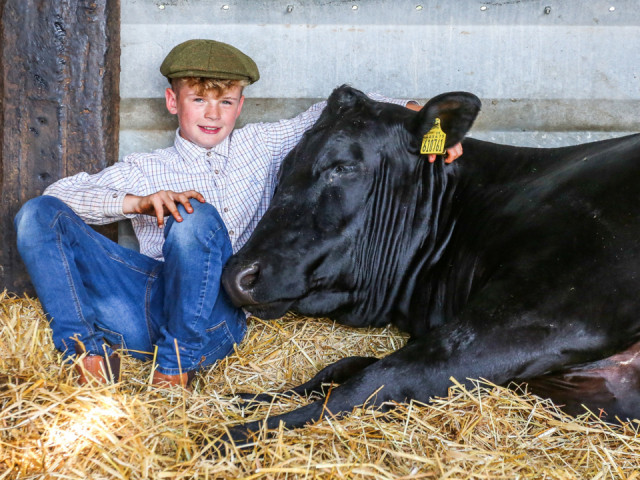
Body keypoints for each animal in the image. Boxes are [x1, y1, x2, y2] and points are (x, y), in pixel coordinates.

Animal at [219, 86, 640, 446]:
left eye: (343, 167)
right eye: (284, 166)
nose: (237, 275)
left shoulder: (541, 310)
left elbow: (370, 383)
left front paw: (232, 435)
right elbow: (343, 367)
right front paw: (251, 398)